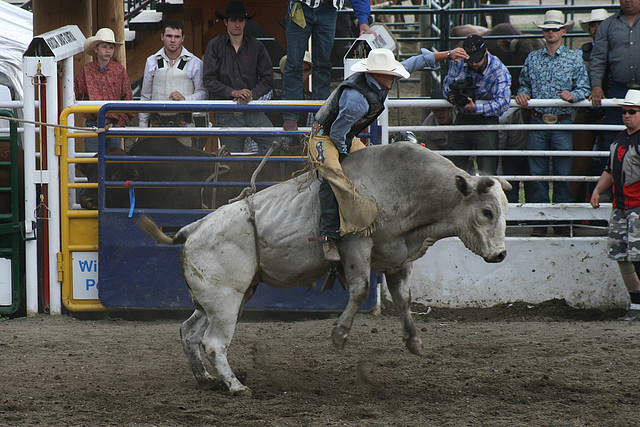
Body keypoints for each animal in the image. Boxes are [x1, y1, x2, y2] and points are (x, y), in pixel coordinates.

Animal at [139, 143, 510, 398]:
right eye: (488, 212)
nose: (501, 254)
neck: (404, 186)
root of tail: (194, 229)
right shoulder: (357, 244)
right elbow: (360, 289)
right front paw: (339, 335)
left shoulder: (397, 256)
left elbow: (403, 299)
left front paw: (414, 342)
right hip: (226, 300)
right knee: (214, 343)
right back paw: (237, 387)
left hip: (217, 300)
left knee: (190, 332)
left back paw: (205, 378)